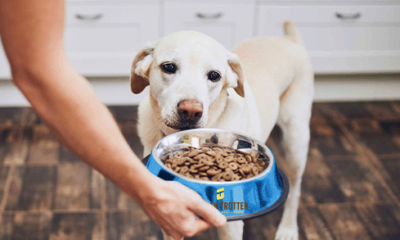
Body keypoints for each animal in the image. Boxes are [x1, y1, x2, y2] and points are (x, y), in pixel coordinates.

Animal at [130, 21, 312, 239]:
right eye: (168, 67)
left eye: (214, 76)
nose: (190, 111)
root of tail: (289, 40)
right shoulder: (170, 215)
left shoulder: (230, 226)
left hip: (295, 142)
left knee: (295, 190)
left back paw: (288, 229)